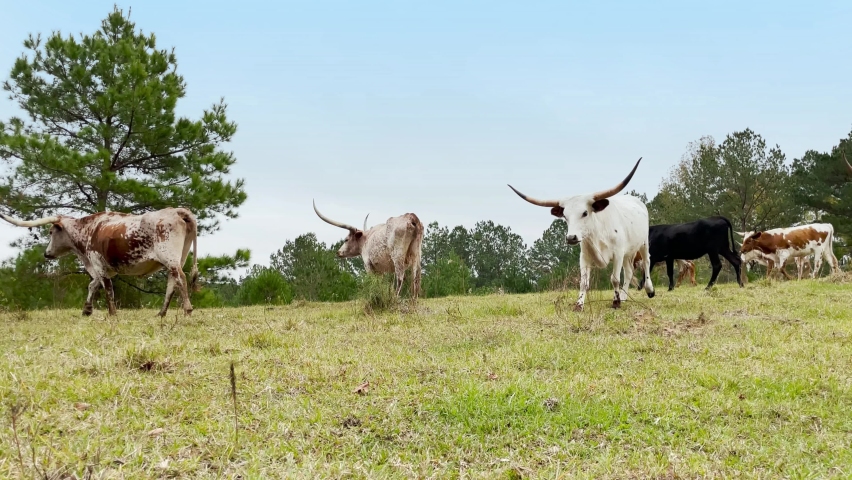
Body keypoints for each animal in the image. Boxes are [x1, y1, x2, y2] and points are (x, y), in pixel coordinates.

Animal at [0, 208, 198, 316]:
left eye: (51, 232)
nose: (46, 253)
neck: (89, 229)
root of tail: (176, 211)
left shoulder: (98, 264)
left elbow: (107, 288)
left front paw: (112, 314)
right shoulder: (101, 268)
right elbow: (93, 285)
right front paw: (87, 309)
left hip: (169, 257)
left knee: (180, 278)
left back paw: (187, 309)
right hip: (178, 258)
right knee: (172, 282)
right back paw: (161, 313)